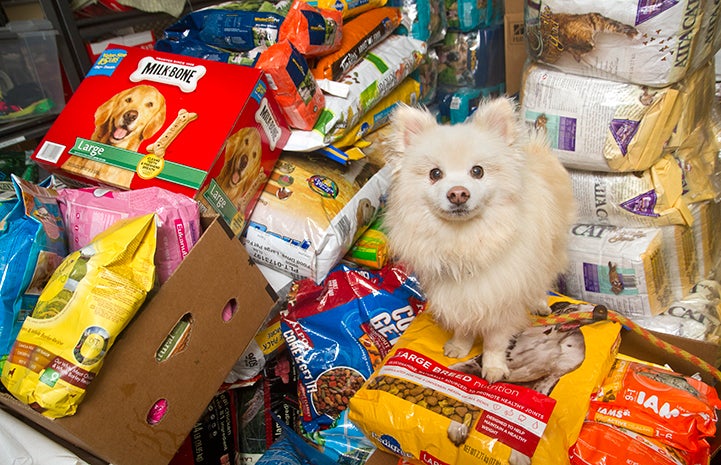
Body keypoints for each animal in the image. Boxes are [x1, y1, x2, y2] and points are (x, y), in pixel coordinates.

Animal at [382, 98, 572, 384]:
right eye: (435, 174)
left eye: (477, 171)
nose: (458, 193)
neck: (463, 240)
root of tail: (536, 149)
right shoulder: (459, 295)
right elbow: (463, 325)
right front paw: (460, 346)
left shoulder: (502, 298)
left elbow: (495, 341)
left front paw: (493, 368)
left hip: (551, 251)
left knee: (543, 279)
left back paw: (539, 302)